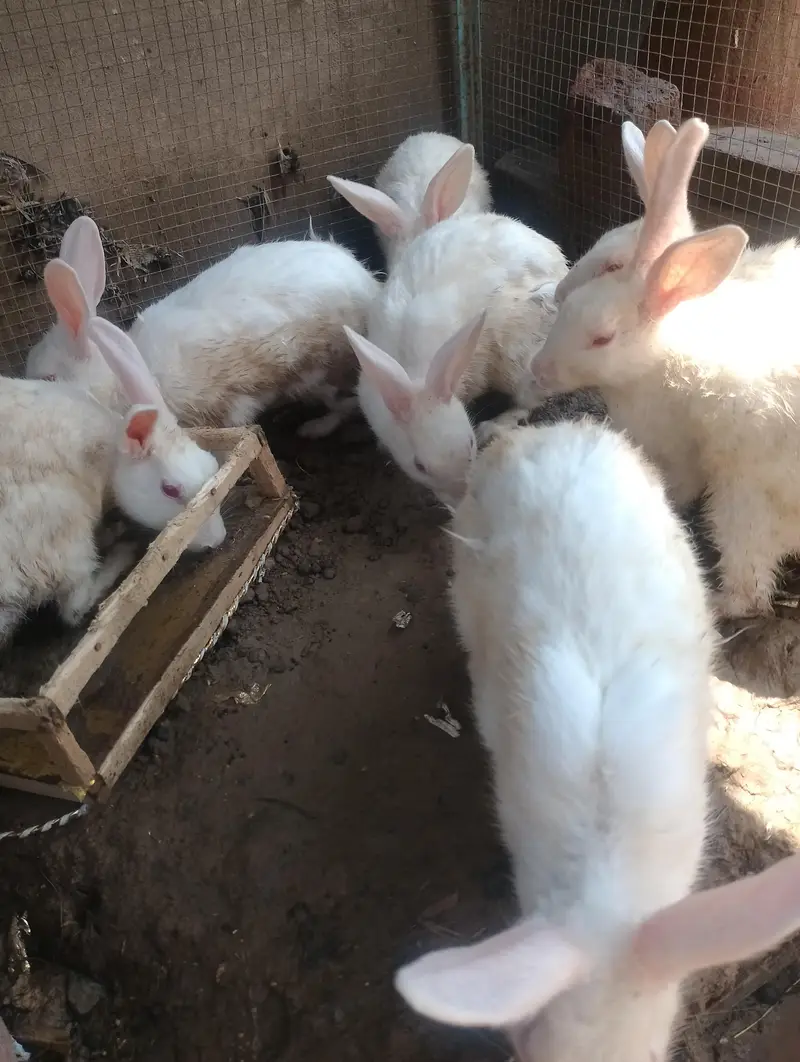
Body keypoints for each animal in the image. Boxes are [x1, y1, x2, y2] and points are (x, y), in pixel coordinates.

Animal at [26, 217, 381, 438]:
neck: (124, 369)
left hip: (323, 372)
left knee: (345, 403)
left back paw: (314, 428)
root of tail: (367, 282)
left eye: (49, 378)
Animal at [341, 211, 567, 505]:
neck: (416, 376)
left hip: (521, 359)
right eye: (420, 466)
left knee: (529, 400)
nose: (459, 497)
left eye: (471, 445)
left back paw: (493, 426)